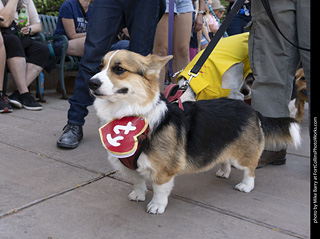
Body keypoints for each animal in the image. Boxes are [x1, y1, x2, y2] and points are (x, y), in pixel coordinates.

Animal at [89, 50, 302, 215]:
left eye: (119, 69)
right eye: (100, 66)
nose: (91, 83)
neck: (131, 113)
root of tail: (253, 110)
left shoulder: (164, 171)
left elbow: (159, 189)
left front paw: (156, 206)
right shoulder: (133, 165)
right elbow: (139, 182)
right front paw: (138, 196)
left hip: (243, 155)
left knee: (249, 169)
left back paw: (246, 186)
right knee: (225, 158)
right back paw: (223, 172)